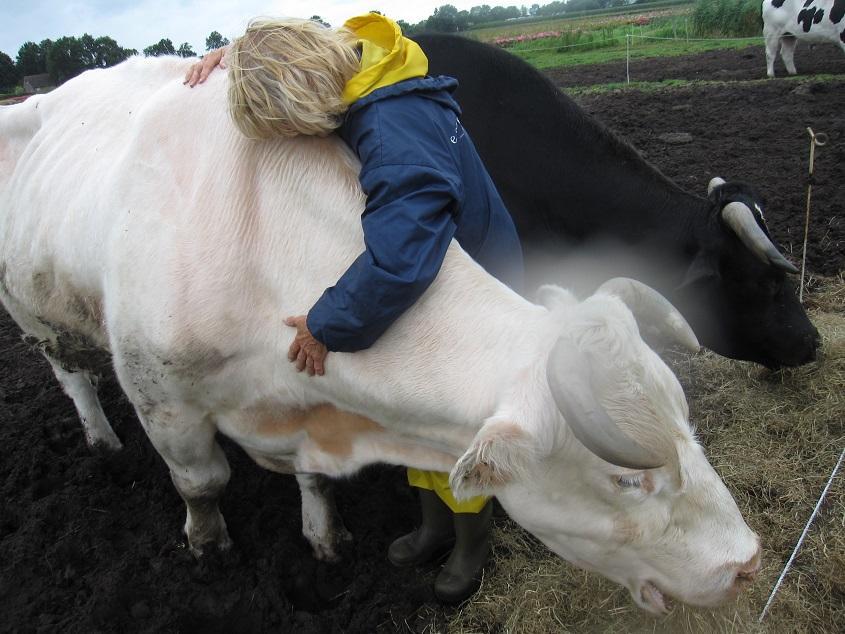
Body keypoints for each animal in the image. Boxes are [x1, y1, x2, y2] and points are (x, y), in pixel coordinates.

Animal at [0, 58, 760, 612]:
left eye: (688, 428)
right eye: (626, 480)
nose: (747, 564)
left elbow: (311, 478)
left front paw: (326, 536)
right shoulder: (164, 400)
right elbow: (201, 483)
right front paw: (209, 549)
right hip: (29, 312)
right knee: (71, 373)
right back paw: (100, 438)